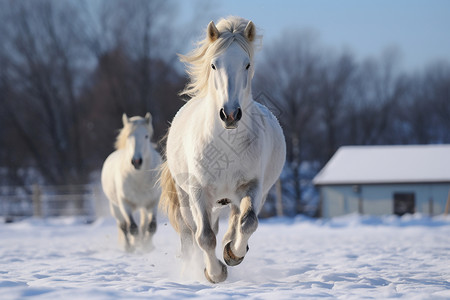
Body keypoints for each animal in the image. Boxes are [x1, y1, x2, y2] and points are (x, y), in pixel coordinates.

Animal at [101, 113, 162, 252]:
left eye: (146, 136)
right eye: (129, 136)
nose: (136, 161)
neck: (139, 179)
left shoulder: (152, 202)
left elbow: (151, 227)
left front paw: (146, 246)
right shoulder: (125, 204)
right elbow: (132, 228)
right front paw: (136, 245)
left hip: (144, 207)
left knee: (144, 225)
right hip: (115, 207)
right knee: (123, 226)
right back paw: (129, 247)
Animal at [160, 17, 284, 284]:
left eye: (247, 64)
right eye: (214, 65)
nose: (230, 114)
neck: (227, 145)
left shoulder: (252, 187)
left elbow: (248, 223)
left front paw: (232, 254)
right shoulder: (198, 190)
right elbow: (204, 236)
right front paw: (214, 273)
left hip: (240, 197)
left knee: (234, 222)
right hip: (187, 199)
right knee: (191, 233)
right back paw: (190, 268)